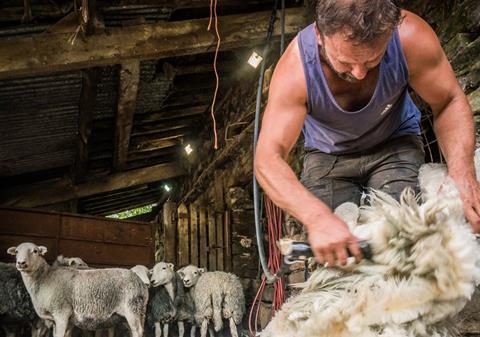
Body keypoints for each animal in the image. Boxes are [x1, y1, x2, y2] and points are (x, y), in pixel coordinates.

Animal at [7, 242, 148, 336]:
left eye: (35, 251)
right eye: (17, 252)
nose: (21, 263)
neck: (45, 278)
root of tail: (140, 282)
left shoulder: (61, 312)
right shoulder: (61, 319)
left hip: (132, 308)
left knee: (137, 331)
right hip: (138, 311)